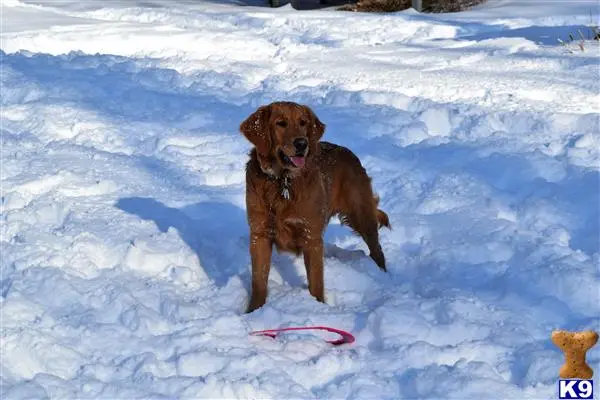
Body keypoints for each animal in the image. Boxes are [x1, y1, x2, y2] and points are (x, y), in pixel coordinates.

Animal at [239, 101, 390, 312]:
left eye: (303, 122)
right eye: (280, 123)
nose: (302, 144)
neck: (283, 182)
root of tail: (349, 153)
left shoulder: (312, 236)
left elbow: (316, 282)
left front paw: (319, 307)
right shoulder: (260, 234)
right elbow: (258, 280)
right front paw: (254, 311)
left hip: (362, 215)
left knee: (377, 249)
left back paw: (383, 276)